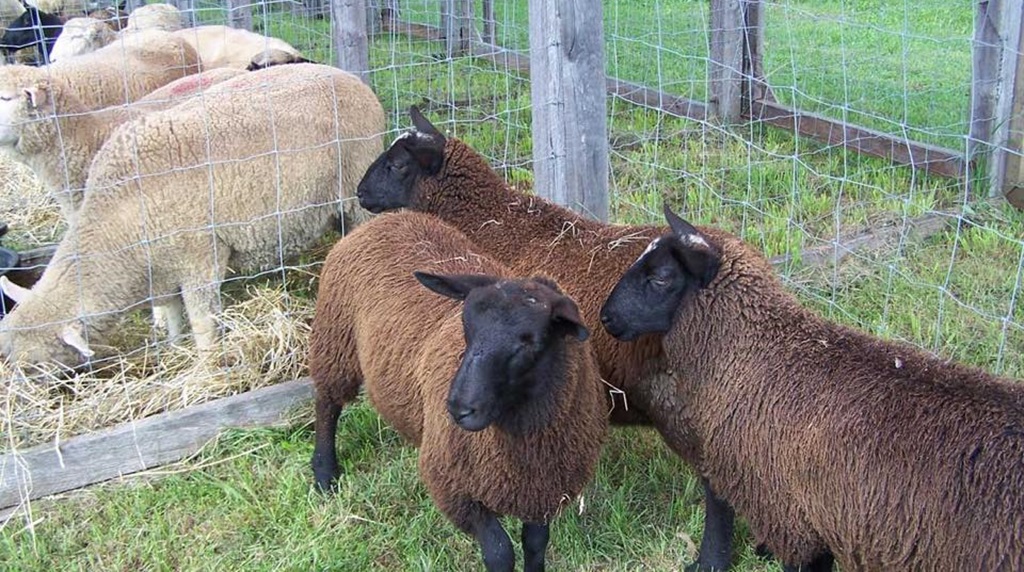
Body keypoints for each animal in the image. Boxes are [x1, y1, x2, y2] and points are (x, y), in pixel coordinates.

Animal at [0, 63, 386, 367]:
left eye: (33, 361)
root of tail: (349, 77)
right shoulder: (160, 268)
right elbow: (172, 311)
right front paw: (173, 344)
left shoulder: (200, 259)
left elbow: (203, 323)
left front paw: (207, 363)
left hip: (357, 190)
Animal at [309, 210, 607, 572]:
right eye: (465, 327)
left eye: (531, 342)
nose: (458, 408)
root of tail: (388, 218)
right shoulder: (455, 489)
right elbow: (499, 552)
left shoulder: (543, 492)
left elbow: (536, 544)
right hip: (336, 339)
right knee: (327, 402)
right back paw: (325, 474)